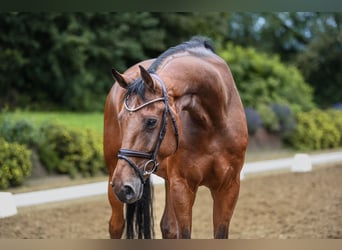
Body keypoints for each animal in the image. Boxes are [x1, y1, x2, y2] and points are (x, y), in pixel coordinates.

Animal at [103, 36, 247, 238]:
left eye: (151, 121)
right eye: (120, 119)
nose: (123, 186)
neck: (213, 121)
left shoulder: (229, 187)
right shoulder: (182, 186)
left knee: (168, 227)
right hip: (114, 174)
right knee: (116, 225)